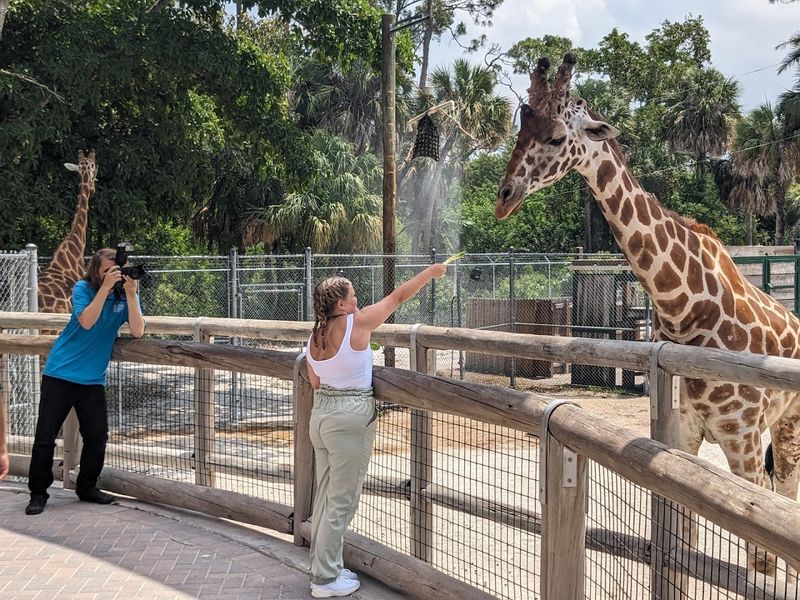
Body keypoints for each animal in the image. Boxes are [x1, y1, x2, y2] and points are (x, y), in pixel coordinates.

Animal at [495, 54, 800, 576]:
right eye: (520, 129)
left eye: (555, 137)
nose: (504, 196)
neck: (685, 307)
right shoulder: (684, 433)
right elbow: (681, 546)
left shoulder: (741, 438)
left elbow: (759, 557)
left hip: (788, 426)